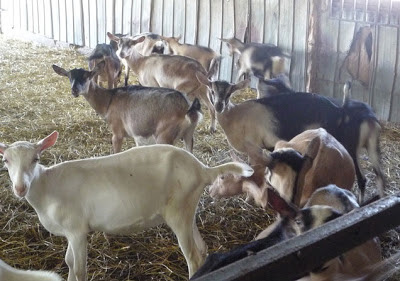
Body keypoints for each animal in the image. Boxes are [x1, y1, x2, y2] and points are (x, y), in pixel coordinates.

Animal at [0, 132, 253, 280]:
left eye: (36, 159)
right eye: (6, 160)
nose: (20, 188)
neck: (47, 186)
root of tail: (202, 169)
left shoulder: (77, 230)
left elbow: (80, 269)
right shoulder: (70, 232)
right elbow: (69, 262)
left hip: (179, 212)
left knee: (192, 256)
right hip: (188, 207)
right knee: (201, 250)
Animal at [52, 61, 202, 153]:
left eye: (86, 76)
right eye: (69, 77)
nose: (74, 90)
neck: (108, 100)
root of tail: (188, 108)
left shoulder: (117, 132)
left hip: (164, 136)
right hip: (188, 136)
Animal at [197, 74, 384, 201]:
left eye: (229, 93)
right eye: (212, 91)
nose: (219, 106)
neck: (235, 116)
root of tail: (340, 110)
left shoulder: (254, 147)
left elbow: (253, 171)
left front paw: (249, 198)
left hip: (348, 146)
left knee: (362, 178)